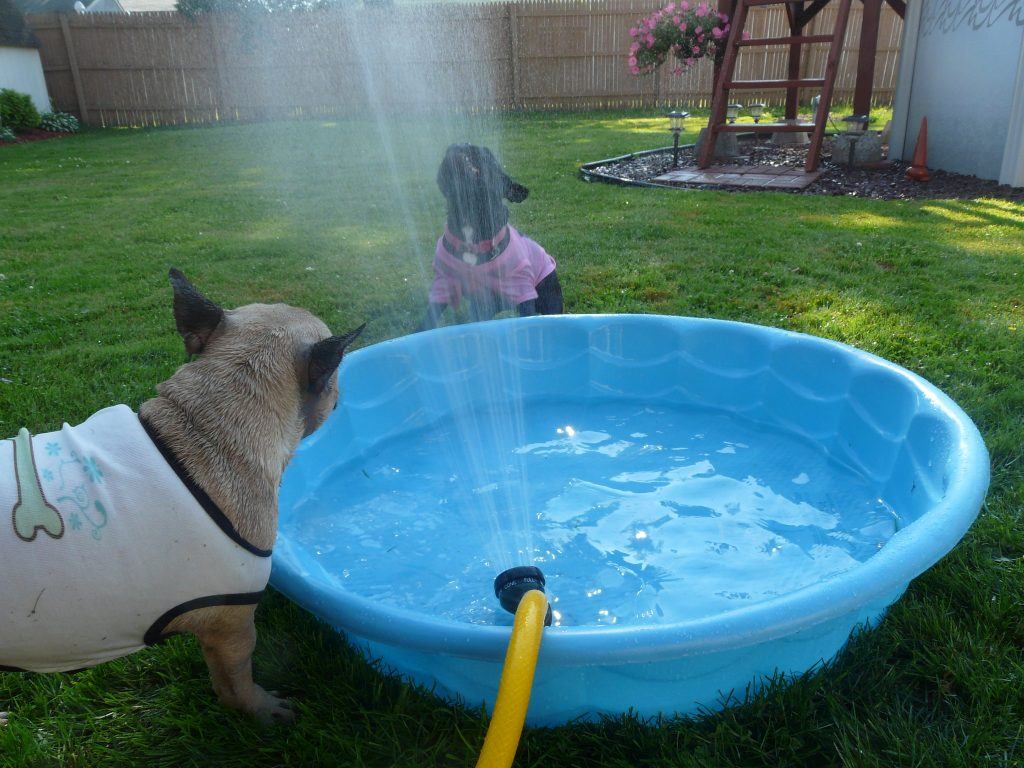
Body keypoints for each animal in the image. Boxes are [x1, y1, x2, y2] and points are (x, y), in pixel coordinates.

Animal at [423, 143, 569, 329]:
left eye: (490, 157)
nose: (464, 143)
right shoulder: (443, 283)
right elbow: (428, 318)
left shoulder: (522, 289)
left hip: (550, 296)